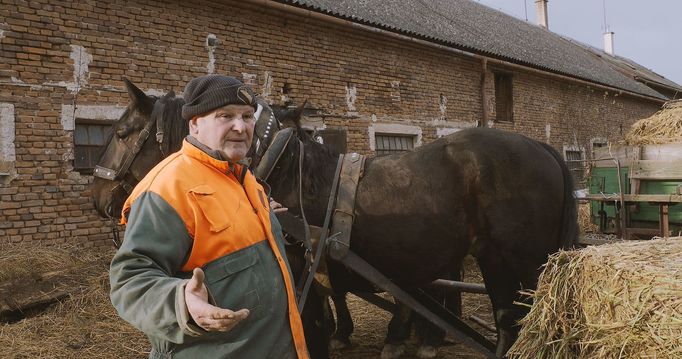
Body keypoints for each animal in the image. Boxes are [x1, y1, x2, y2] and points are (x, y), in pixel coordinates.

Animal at [256, 120, 580, 358]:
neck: (290, 172)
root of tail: (541, 147)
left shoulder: (302, 276)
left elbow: (313, 331)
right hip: (494, 258)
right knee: (507, 316)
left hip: (530, 262)